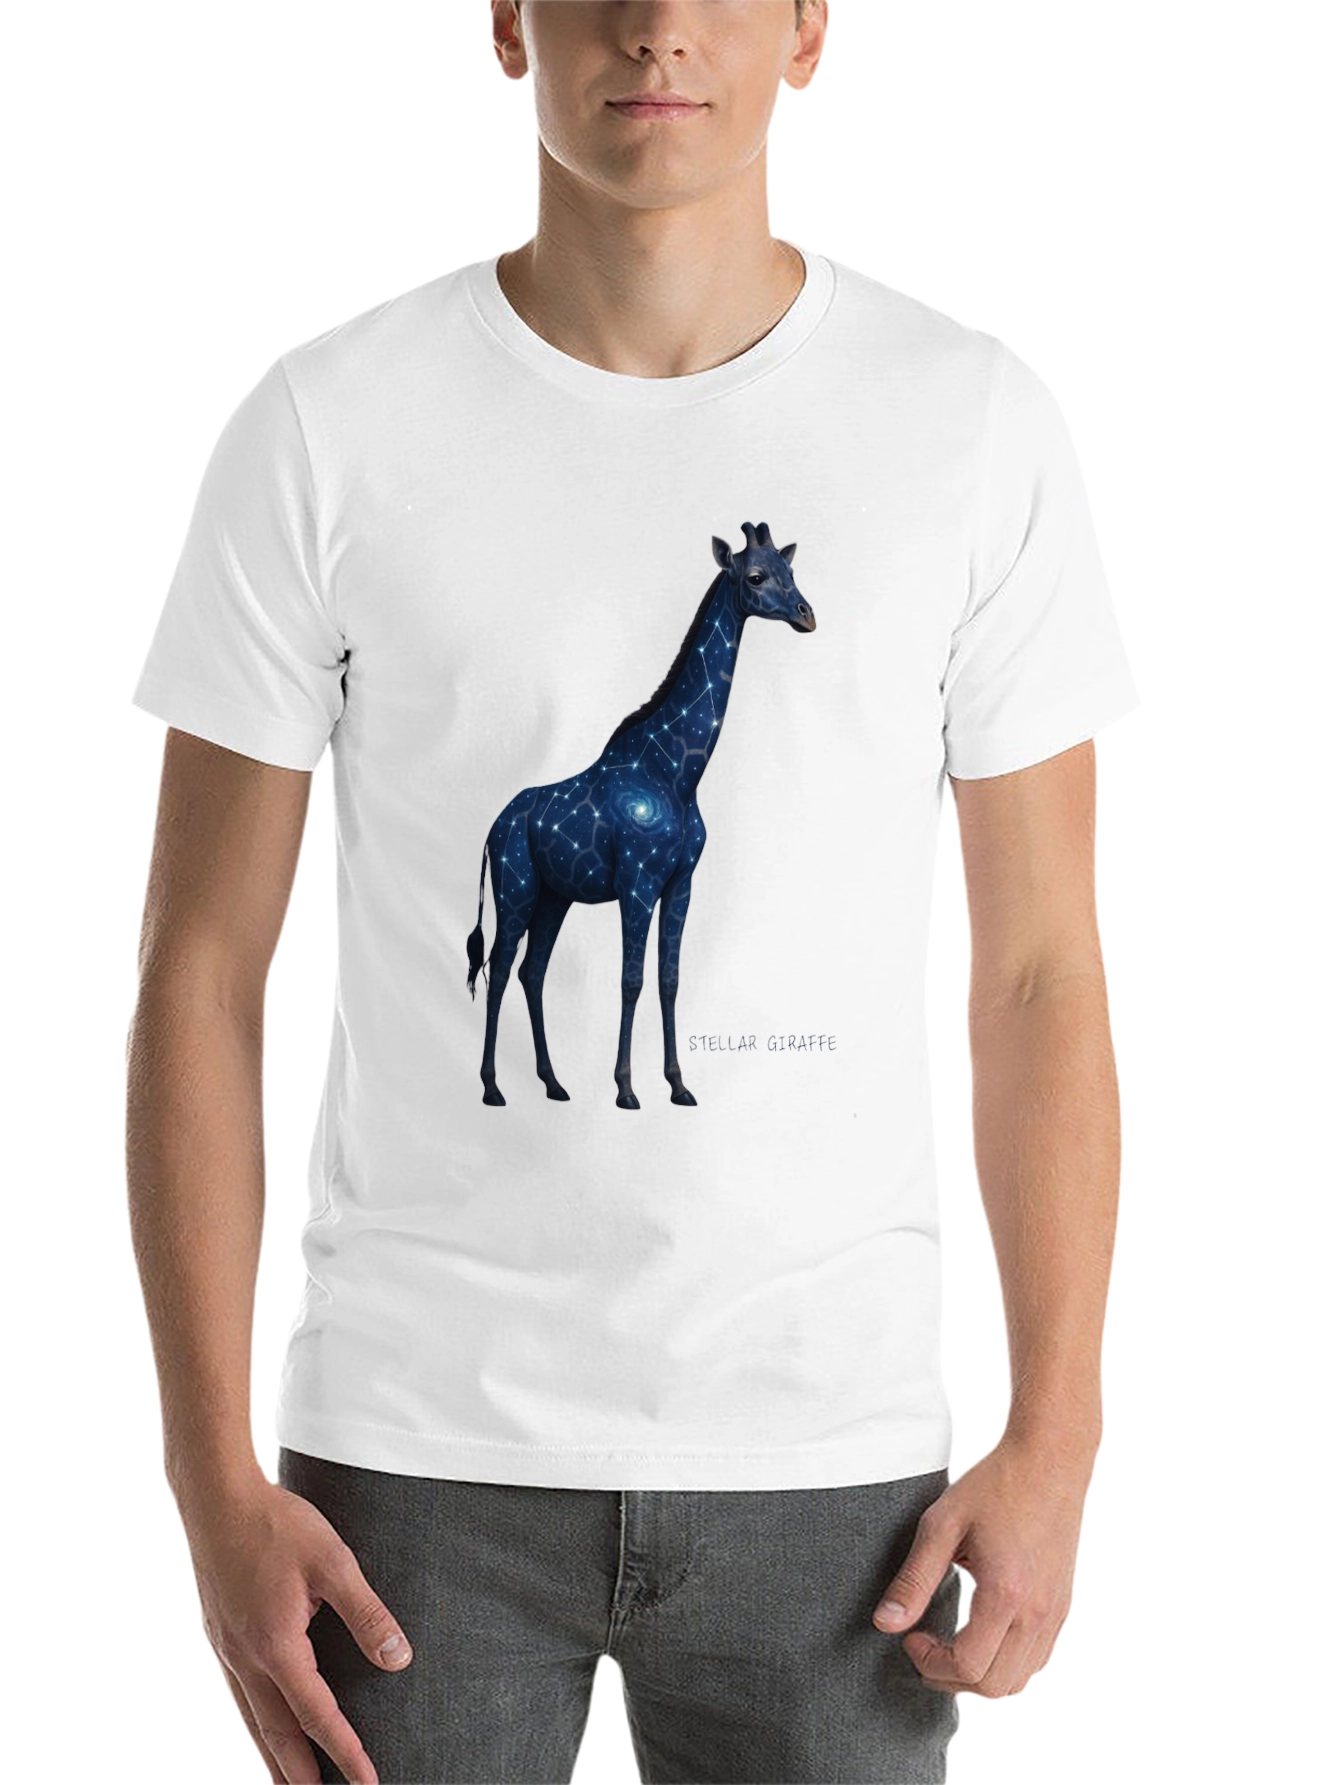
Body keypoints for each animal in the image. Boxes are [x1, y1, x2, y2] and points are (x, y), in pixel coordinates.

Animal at [465, 521, 816, 1109]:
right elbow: (630, 980)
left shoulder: (679, 883)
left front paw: (678, 1085)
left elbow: (668, 979)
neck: (677, 772)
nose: (807, 614)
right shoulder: (637, 881)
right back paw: (492, 1087)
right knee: (499, 969)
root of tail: (493, 827)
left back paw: (554, 1083)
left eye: (792, 570)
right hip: (516, 890)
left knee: (532, 973)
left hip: (554, 897)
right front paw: (626, 1088)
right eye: (755, 576)